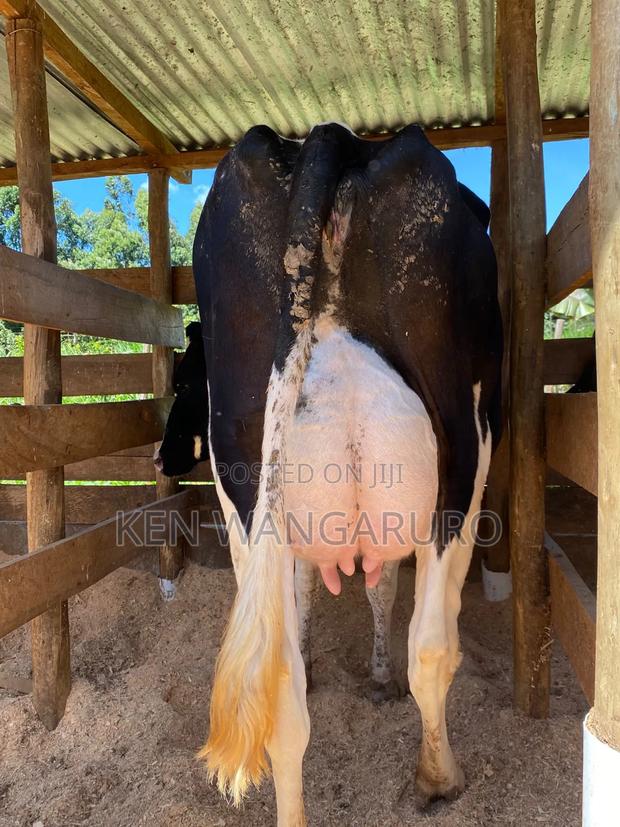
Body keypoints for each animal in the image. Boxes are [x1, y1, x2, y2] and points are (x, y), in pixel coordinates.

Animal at [156, 122, 502, 824]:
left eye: (182, 381)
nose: (159, 455)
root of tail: (329, 136)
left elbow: (327, 590)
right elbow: (384, 592)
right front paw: (380, 677)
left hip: (248, 490)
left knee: (281, 692)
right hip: (463, 459)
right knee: (431, 645)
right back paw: (438, 778)